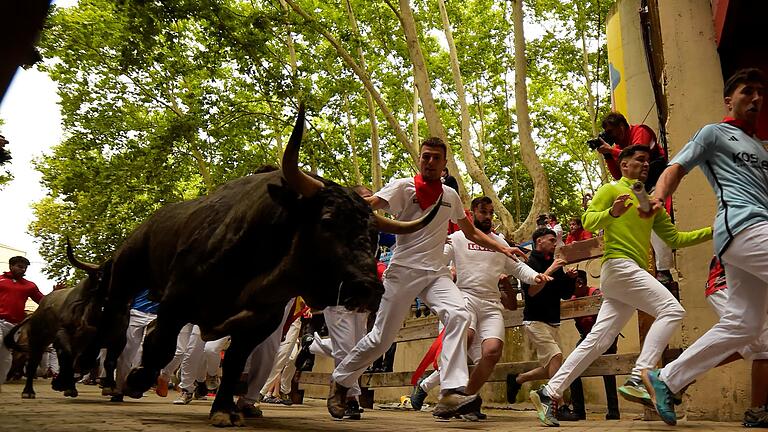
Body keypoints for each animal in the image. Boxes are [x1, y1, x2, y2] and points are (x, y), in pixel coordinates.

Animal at [3, 240, 112, 398]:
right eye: (102, 274)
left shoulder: (94, 339)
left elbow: (84, 358)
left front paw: (67, 384)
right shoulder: (62, 333)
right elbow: (69, 356)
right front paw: (60, 383)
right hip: (37, 340)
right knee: (32, 364)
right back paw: (28, 391)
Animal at [99, 104, 440, 426]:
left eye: (372, 235)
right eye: (327, 220)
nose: (368, 288)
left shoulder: (259, 323)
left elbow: (234, 363)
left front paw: (224, 409)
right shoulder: (176, 301)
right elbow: (162, 345)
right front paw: (138, 379)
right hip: (126, 276)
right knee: (119, 331)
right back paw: (114, 382)